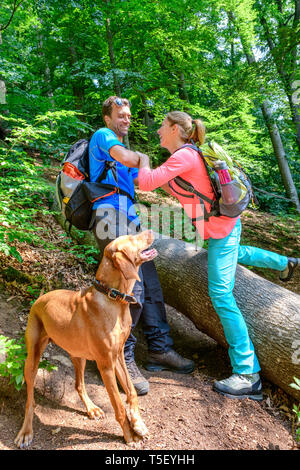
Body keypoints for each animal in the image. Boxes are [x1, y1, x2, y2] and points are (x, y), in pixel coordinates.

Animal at [14, 230, 157, 448]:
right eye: (133, 237)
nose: (151, 230)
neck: (113, 298)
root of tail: (40, 298)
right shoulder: (105, 365)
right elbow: (118, 406)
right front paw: (130, 435)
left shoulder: (118, 356)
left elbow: (131, 391)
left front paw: (138, 423)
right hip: (32, 359)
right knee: (30, 399)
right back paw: (26, 432)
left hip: (78, 355)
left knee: (79, 385)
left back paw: (91, 408)